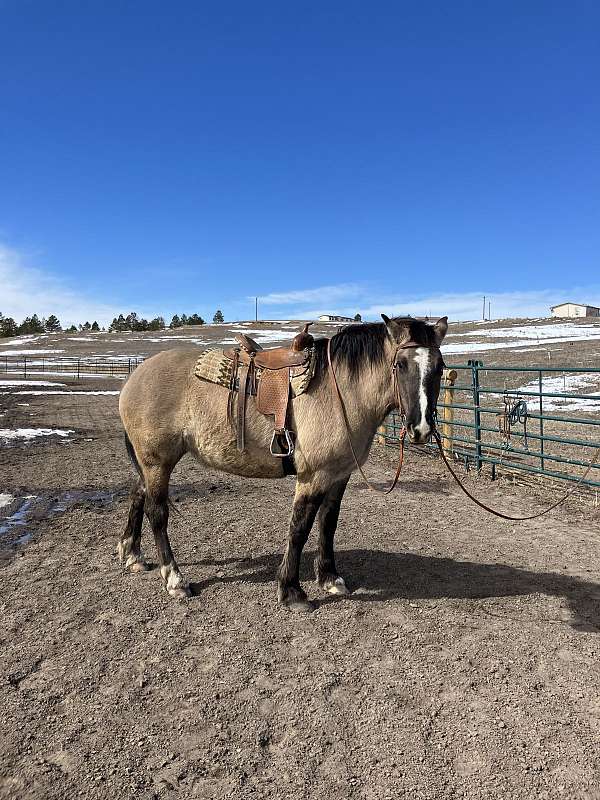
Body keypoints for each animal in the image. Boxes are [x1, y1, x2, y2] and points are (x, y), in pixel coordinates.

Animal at [118, 316, 446, 608]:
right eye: (400, 365)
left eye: (440, 367)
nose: (421, 428)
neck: (341, 390)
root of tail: (135, 377)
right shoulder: (313, 475)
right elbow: (300, 527)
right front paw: (291, 591)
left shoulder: (339, 474)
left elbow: (328, 523)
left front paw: (330, 578)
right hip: (158, 462)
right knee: (157, 513)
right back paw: (175, 580)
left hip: (151, 464)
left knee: (138, 495)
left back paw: (132, 555)